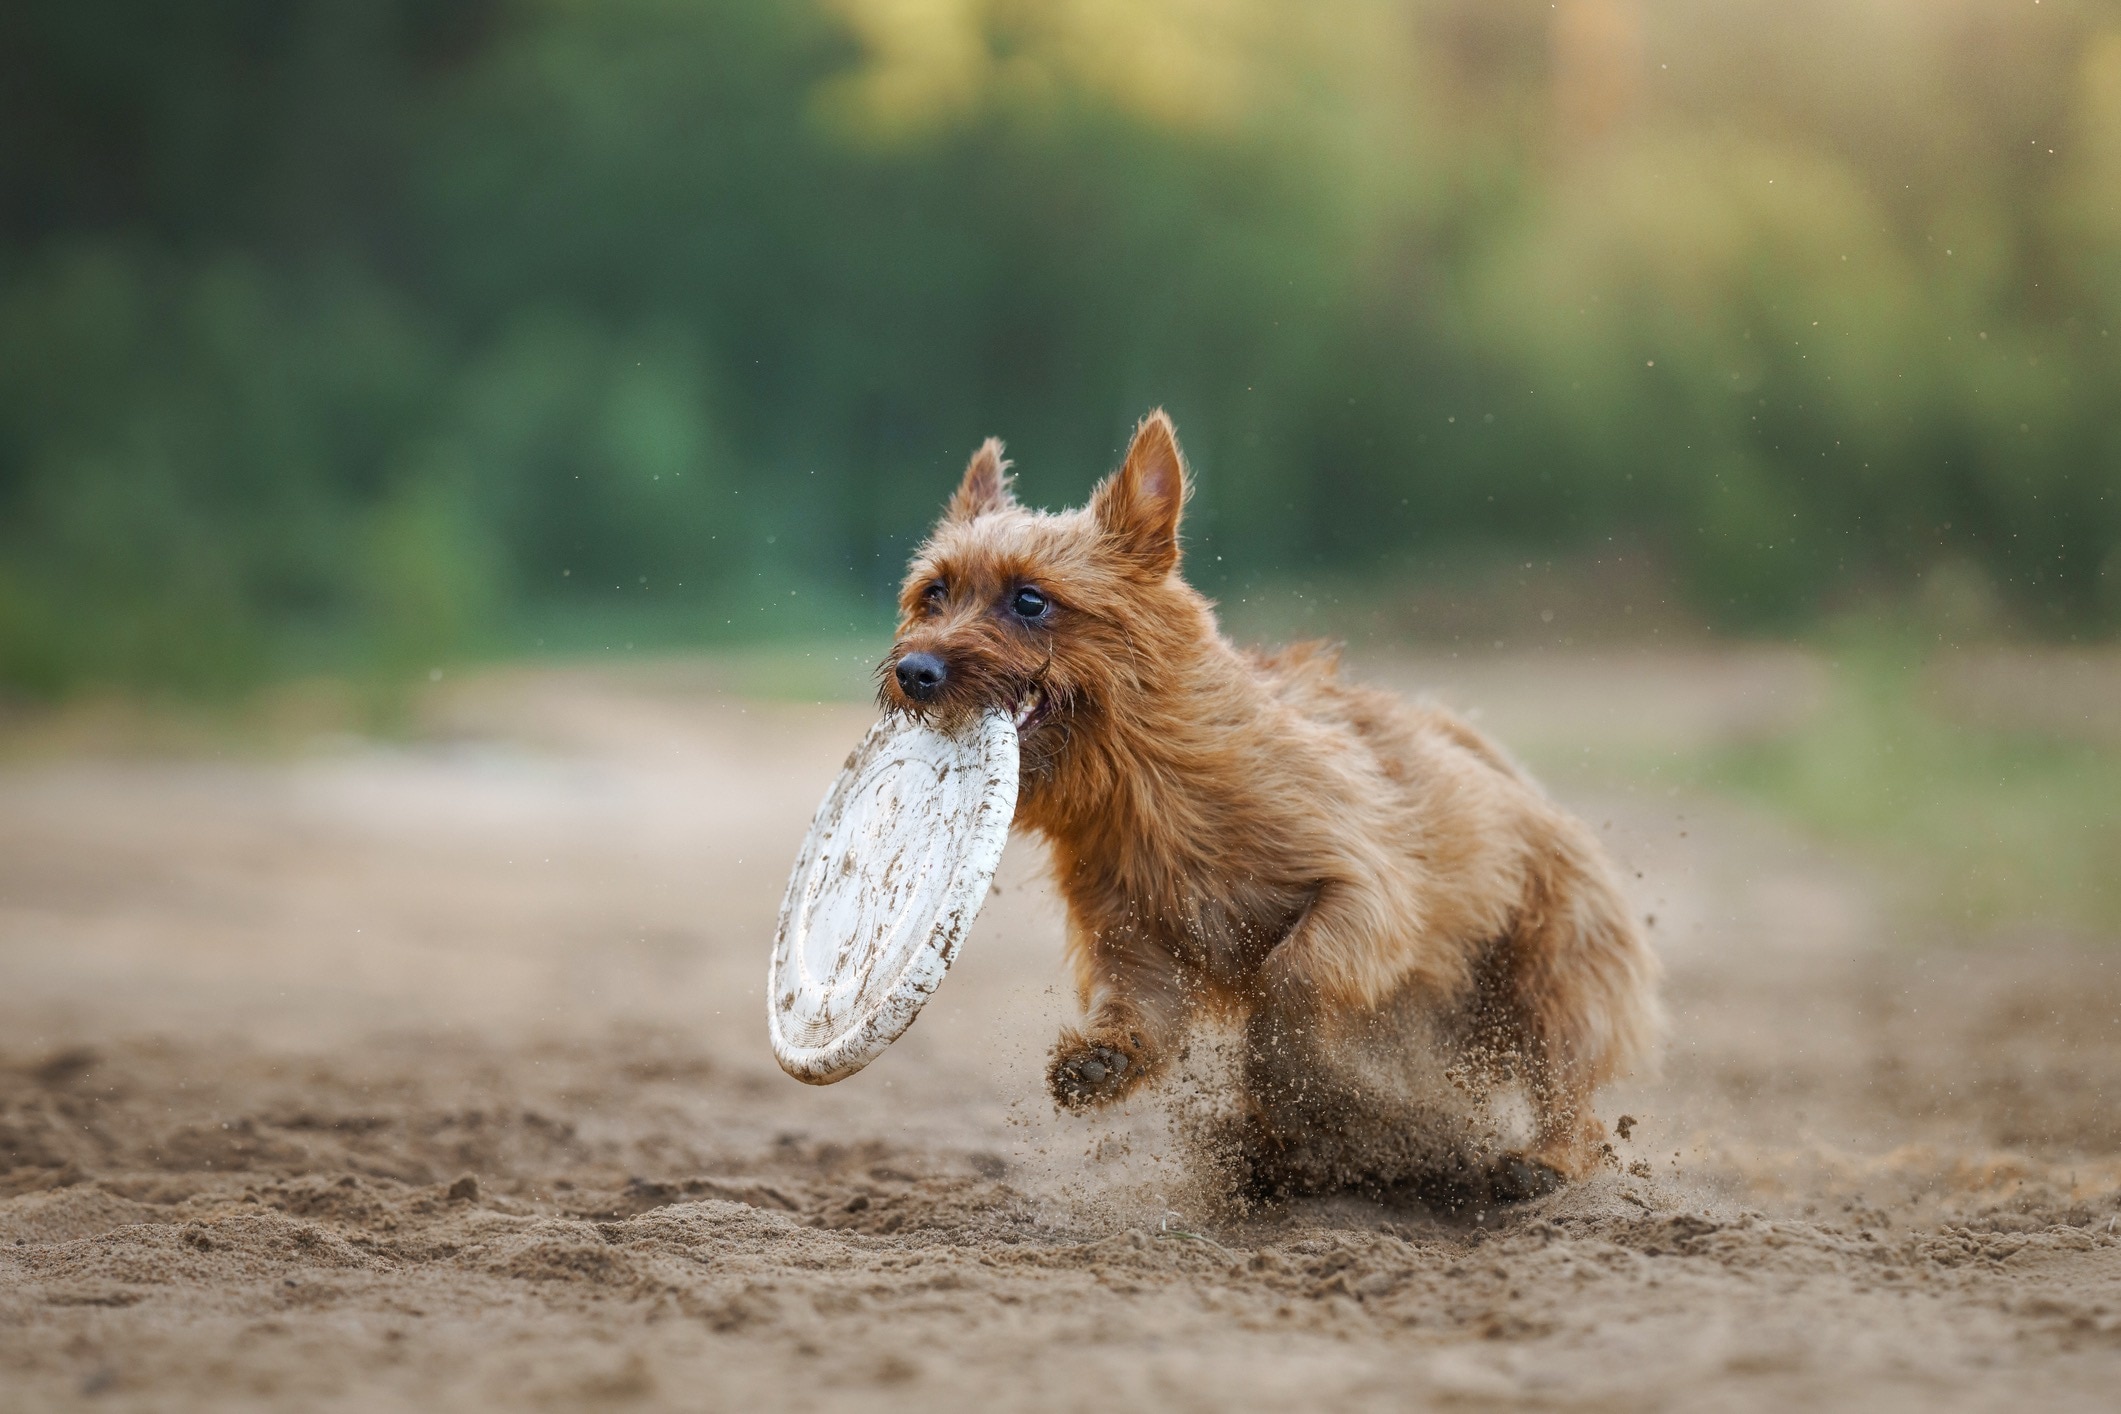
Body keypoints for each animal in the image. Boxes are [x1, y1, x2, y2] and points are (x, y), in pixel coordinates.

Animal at [873, 415, 1654, 1204]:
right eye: (934, 594)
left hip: (1550, 975)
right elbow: (1138, 1006)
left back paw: (1540, 1161)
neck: (1147, 789)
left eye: (1030, 600)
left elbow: (1295, 975)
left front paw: (1287, 1083)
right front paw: (1107, 1057)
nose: (914, 671)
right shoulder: (1130, 937)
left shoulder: (1364, 889)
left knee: (1569, 1093)